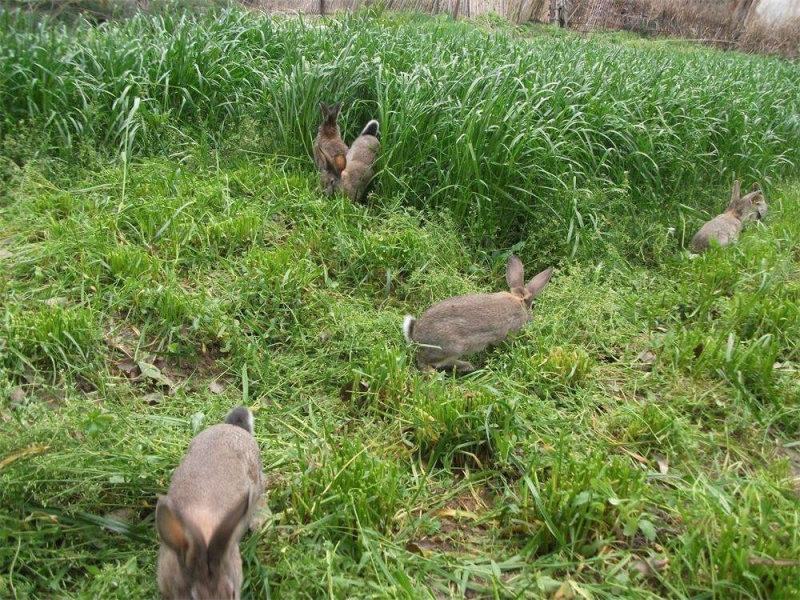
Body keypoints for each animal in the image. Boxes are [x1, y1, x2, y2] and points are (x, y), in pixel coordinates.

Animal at [404, 255, 552, 372]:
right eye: (533, 306)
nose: (532, 319)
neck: (519, 302)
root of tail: (414, 336)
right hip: (452, 349)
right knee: (427, 362)